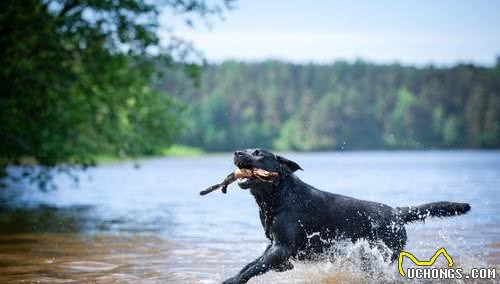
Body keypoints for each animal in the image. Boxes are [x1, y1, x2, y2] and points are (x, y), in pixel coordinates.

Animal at [221, 150, 470, 282]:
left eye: (258, 153)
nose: (237, 152)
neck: (279, 196)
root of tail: (396, 212)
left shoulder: (281, 248)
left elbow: (252, 269)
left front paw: (232, 280)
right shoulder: (274, 247)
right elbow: (251, 265)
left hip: (378, 256)